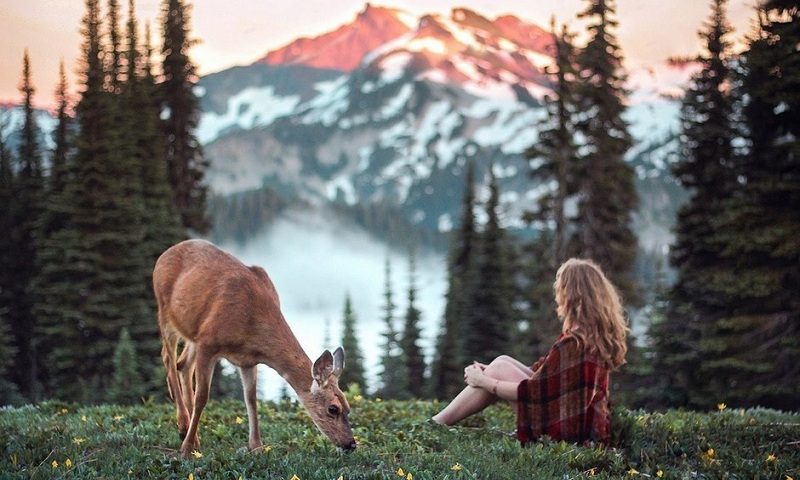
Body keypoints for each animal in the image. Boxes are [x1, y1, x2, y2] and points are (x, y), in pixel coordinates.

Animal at [155, 240, 354, 458]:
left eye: (348, 407)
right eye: (333, 409)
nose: (351, 444)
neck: (252, 325)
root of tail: (165, 253)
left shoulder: (247, 360)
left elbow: (251, 400)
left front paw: (257, 446)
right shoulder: (208, 343)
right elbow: (202, 397)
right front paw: (186, 449)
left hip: (192, 331)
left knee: (183, 364)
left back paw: (192, 431)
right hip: (165, 311)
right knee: (168, 358)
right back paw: (184, 427)